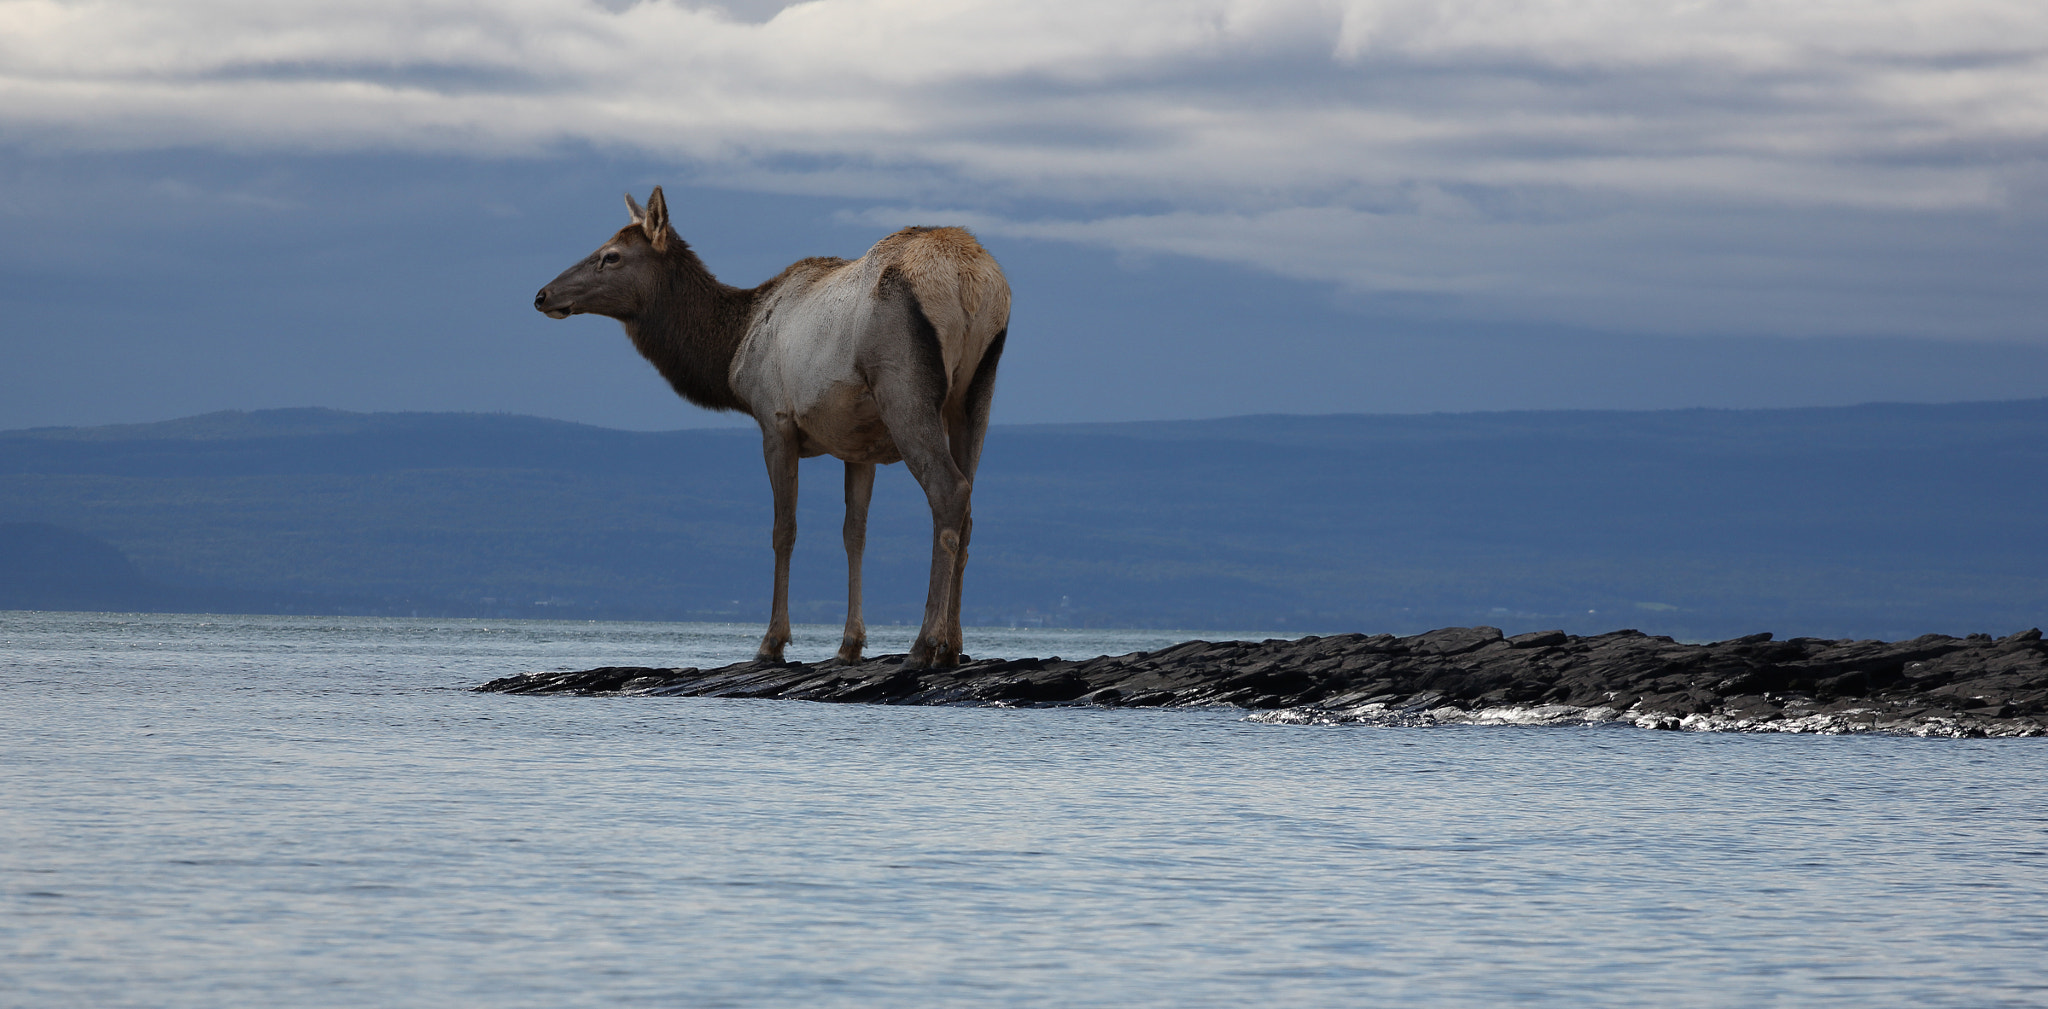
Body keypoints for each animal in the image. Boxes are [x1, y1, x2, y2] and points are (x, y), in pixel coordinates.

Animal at [528, 188, 1007, 667]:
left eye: (610, 255)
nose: (542, 295)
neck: (731, 350)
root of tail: (971, 281)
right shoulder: (858, 445)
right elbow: (854, 533)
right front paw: (849, 644)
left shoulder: (775, 421)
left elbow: (784, 530)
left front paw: (772, 641)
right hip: (975, 395)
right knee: (968, 504)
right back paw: (953, 646)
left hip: (902, 386)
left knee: (949, 491)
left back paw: (924, 644)